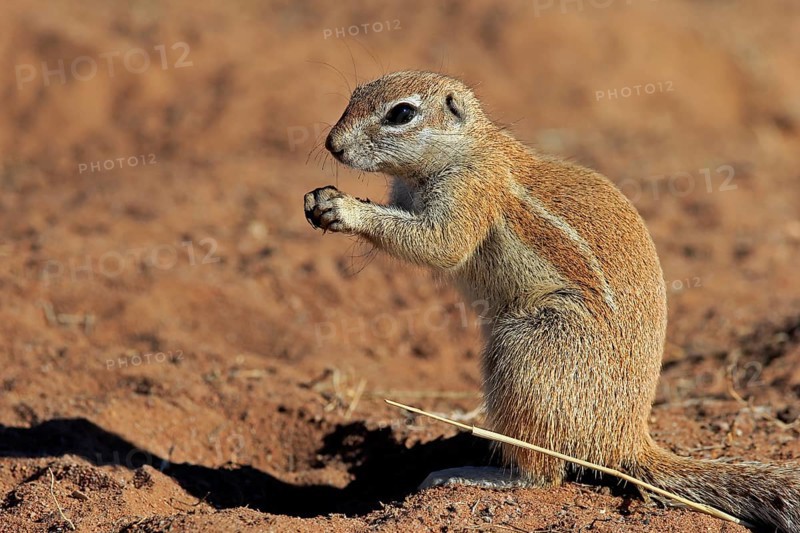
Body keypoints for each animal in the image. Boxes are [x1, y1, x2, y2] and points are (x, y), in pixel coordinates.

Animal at [303, 70, 799, 531]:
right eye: (353, 95)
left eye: (401, 113)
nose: (332, 144)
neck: (467, 148)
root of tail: (626, 439)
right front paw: (319, 199)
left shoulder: (470, 191)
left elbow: (439, 244)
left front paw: (343, 208)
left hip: (524, 350)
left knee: (543, 474)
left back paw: (471, 475)